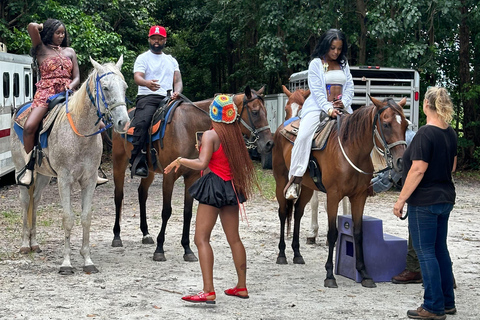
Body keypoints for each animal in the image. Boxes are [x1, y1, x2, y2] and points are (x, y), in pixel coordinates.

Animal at [11, 56, 130, 274]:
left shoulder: (89, 180)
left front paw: (87, 260)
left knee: (36, 200)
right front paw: (66, 263)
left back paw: (34, 243)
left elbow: (85, 217)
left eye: (125, 87)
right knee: (25, 201)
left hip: (44, 176)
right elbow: (67, 218)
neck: (80, 133)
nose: (123, 122)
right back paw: (24, 245)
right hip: (21, 170)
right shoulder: (64, 180)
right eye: (106, 88)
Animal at [272, 95, 406, 288]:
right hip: (281, 180)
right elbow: (333, 232)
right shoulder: (333, 196)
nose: (401, 161)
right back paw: (282, 254)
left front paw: (364, 273)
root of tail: (281, 129)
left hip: (307, 187)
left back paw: (297, 254)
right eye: (386, 124)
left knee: (297, 213)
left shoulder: (359, 197)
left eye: (405, 125)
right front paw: (329, 275)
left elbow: (358, 233)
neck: (352, 150)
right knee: (283, 213)